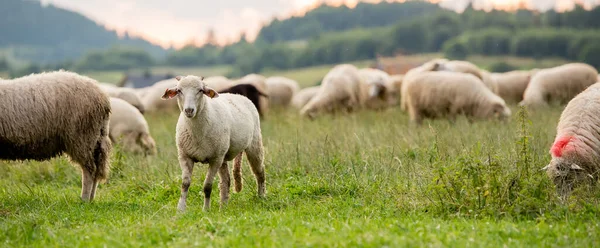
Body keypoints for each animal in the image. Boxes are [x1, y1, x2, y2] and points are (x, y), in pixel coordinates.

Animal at [0, 70, 112, 202]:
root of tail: (102, 96)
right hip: (96, 137)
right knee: (96, 170)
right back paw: (91, 199)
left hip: (83, 137)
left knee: (89, 170)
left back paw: (84, 199)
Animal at [164, 75, 268, 211]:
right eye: (179, 91)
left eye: (200, 90)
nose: (189, 110)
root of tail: (237, 95)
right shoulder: (185, 156)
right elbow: (185, 184)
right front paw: (180, 210)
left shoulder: (215, 159)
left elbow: (207, 186)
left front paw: (206, 210)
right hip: (223, 154)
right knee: (226, 181)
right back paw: (223, 207)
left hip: (253, 144)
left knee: (259, 172)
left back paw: (261, 197)